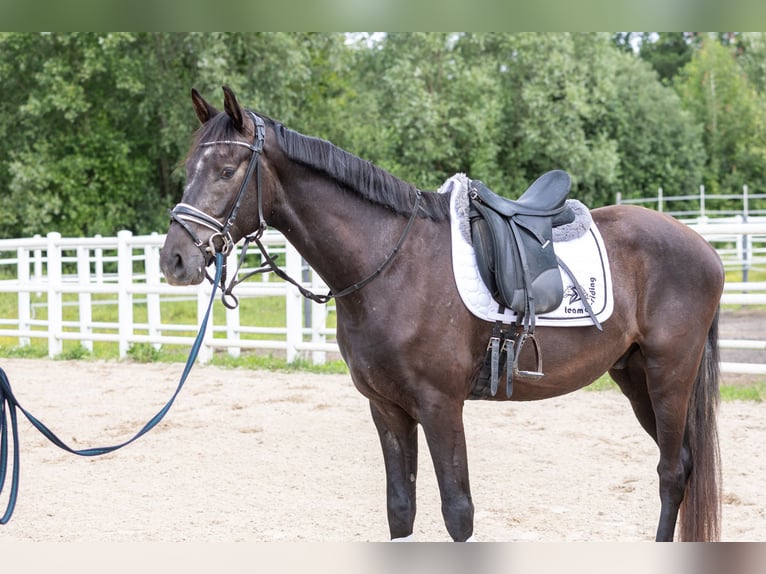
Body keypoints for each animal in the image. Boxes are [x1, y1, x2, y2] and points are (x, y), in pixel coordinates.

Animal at [159, 86, 724, 544]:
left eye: (227, 171)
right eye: (188, 170)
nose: (175, 260)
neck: (392, 264)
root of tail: (704, 246)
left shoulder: (440, 406)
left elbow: (458, 513)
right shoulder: (386, 409)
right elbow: (400, 509)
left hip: (669, 374)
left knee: (671, 473)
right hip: (633, 375)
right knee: (682, 465)